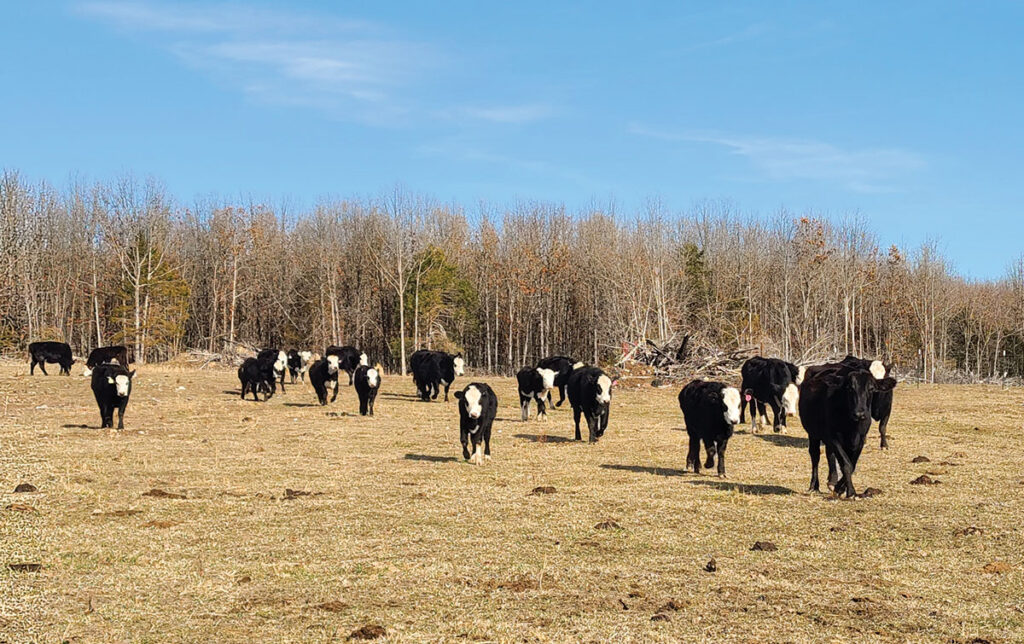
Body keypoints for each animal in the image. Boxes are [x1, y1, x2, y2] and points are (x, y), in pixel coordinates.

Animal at [798, 362, 897, 497]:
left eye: (871, 388)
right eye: (849, 388)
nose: (859, 414)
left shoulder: (860, 439)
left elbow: (852, 464)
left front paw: (840, 488)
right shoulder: (834, 437)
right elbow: (846, 464)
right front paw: (851, 492)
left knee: (830, 454)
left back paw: (832, 480)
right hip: (813, 434)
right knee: (815, 456)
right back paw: (814, 485)